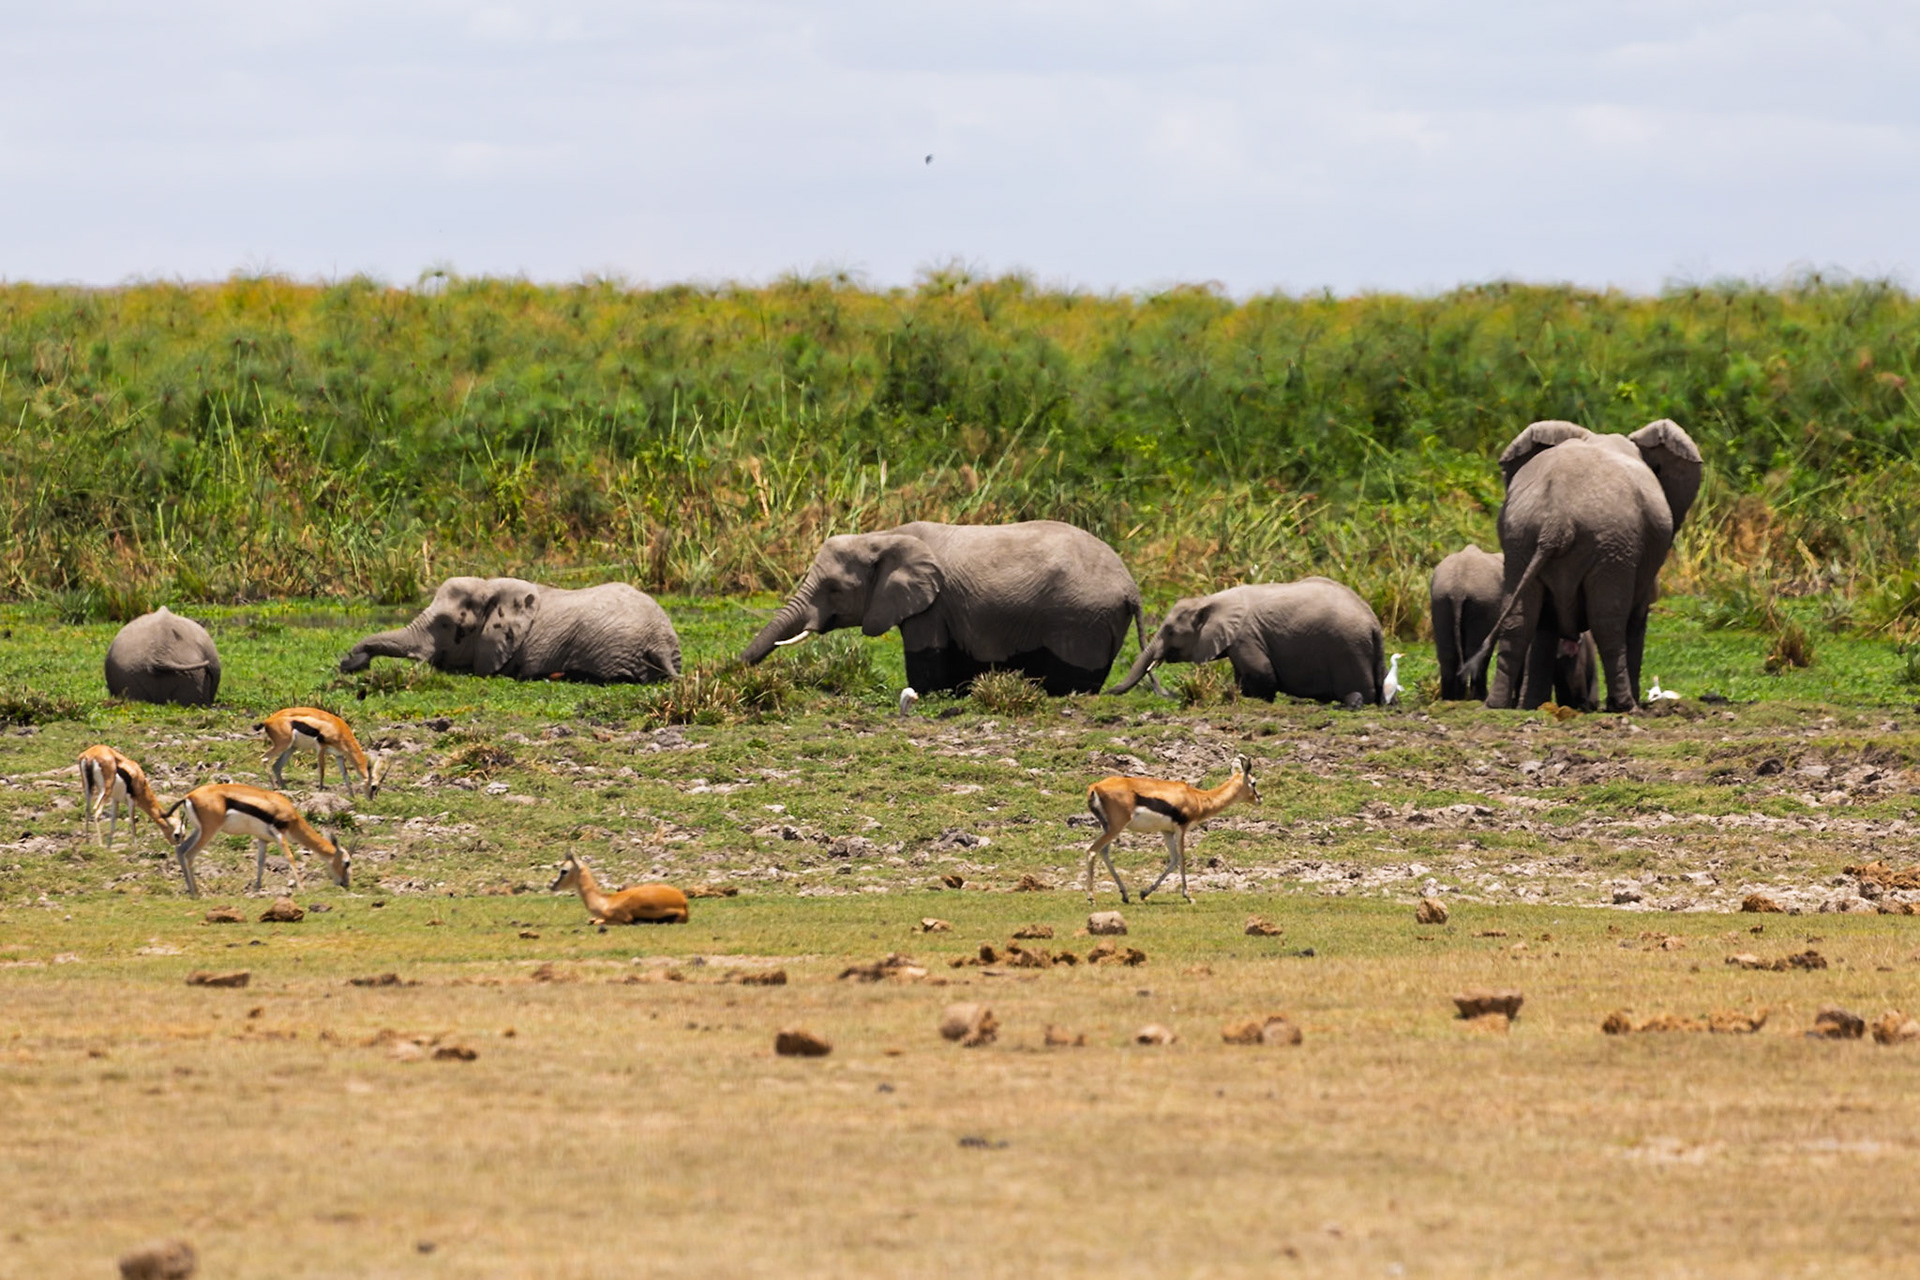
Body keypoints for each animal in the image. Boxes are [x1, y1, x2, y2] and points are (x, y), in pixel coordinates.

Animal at [740, 521, 1150, 696]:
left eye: (834, 589)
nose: (737, 667)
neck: (883, 535)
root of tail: (1131, 587)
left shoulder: (932, 606)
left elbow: (926, 657)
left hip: (1080, 619)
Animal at [1108, 578, 1385, 704]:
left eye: (1171, 632)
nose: (1109, 691)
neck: (1210, 600)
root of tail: (1374, 623)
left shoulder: (1246, 636)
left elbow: (1263, 673)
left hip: (1349, 648)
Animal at [1431, 545, 1600, 709]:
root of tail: (1458, 587)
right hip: (1477, 602)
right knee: (1475, 651)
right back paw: (1475, 698)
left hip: (1443, 601)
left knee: (1447, 654)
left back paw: (1451, 699)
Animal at [1469, 419, 1702, 712]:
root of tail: (1556, 521)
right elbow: (1634, 616)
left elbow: (1545, 625)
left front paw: (1533, 704)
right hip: (1613, 546)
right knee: (1608, 622)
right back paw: (1626, 706)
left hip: (1520, 538)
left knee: (1519, 620)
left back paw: (1500, 705)